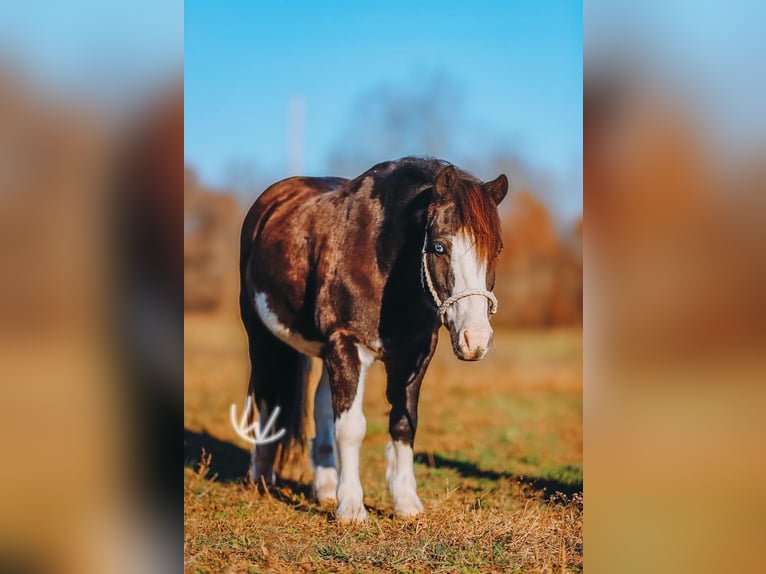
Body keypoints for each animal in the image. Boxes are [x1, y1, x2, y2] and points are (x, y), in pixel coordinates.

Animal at [239, 157, 508, 522]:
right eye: (439, 247)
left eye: (497, 249)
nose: (475, 339)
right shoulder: (345, 343)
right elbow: (351, 427)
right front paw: (352, 508)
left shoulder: (415, 353)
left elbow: (403, 423)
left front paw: (406, 503)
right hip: (263, 337)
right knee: (268, 397)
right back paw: (262, 477)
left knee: (321, 405)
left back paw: (325, 488)